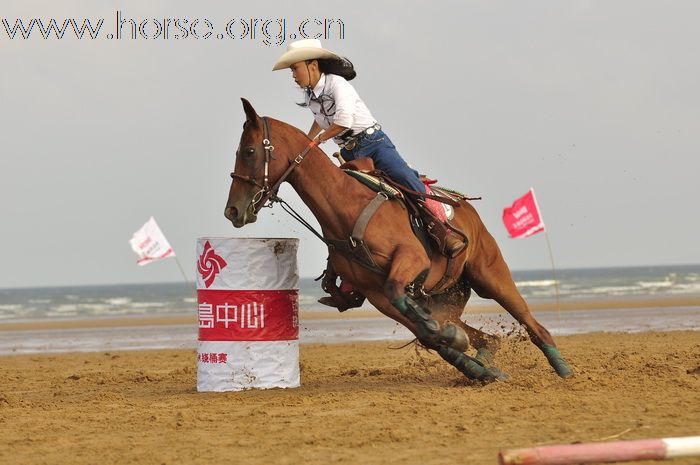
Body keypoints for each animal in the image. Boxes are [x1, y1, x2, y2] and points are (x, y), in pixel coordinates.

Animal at [226, 98, 576, 380]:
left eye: (250, 151)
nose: (233, 210)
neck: (346, 206)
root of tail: (465, 208)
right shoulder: (376, 294)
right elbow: (428, 335)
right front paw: (474, 365)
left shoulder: (410, 261)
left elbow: (414, 312)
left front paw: (458, 348)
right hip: (447, 297)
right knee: (487, 338)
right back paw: (482, 359)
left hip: (490, 275)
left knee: (531, 323)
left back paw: (563, 369)